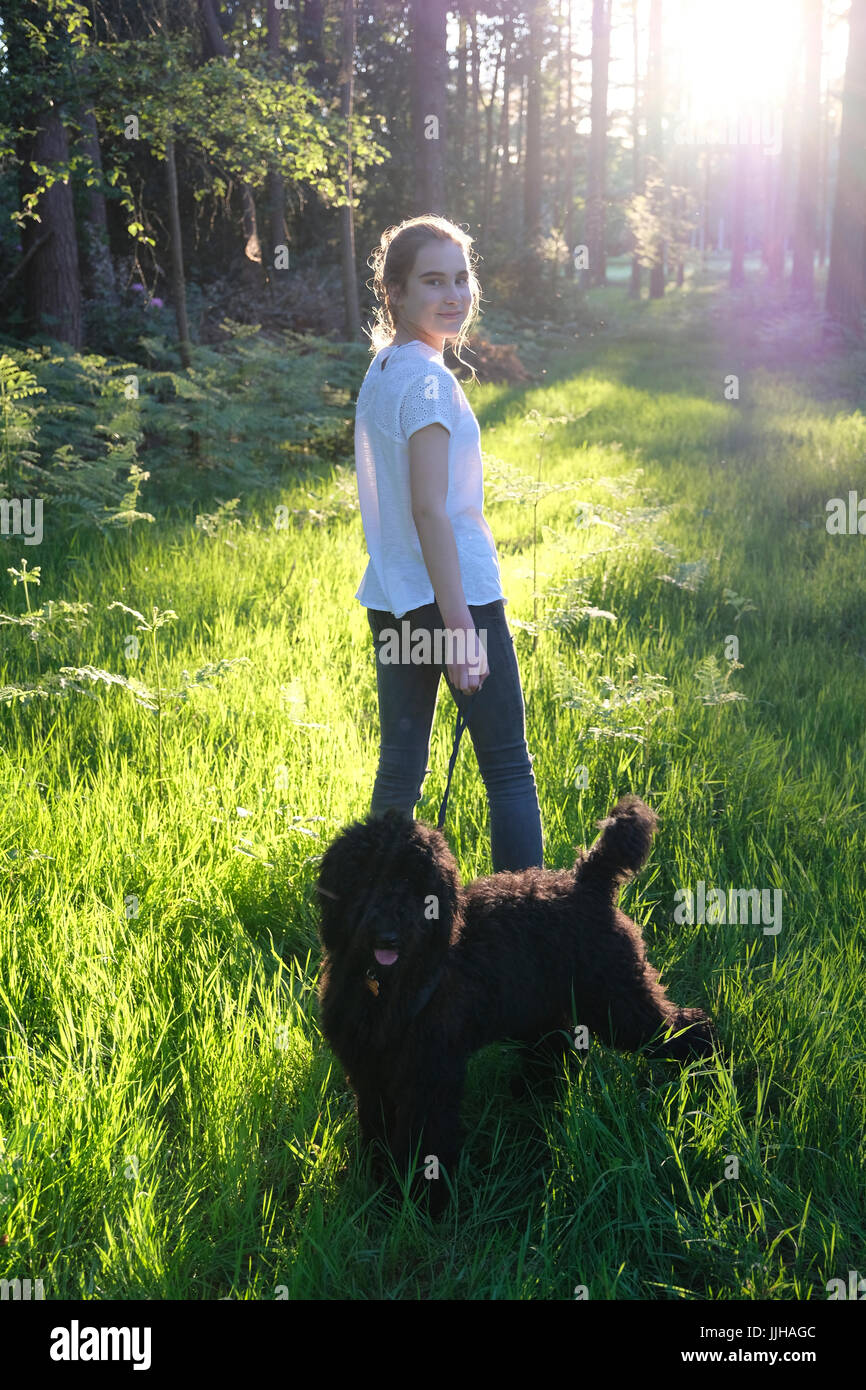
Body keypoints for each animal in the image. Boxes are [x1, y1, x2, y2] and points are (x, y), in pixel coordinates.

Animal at [315, 800, 717, 1212]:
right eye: (366, 878)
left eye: (416, 885)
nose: (387, 937)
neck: (390, 984)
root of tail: (588, 881)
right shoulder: (369, 1070)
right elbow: (375, 1123)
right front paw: (377, 1177)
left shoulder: (429, 1077)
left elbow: (425, 1140)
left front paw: (425, 1200)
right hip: (547, 1004)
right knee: (557, 1046)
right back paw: (537, 1095)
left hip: (617, 1000)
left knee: (684, 1027)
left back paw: (708, 1069)